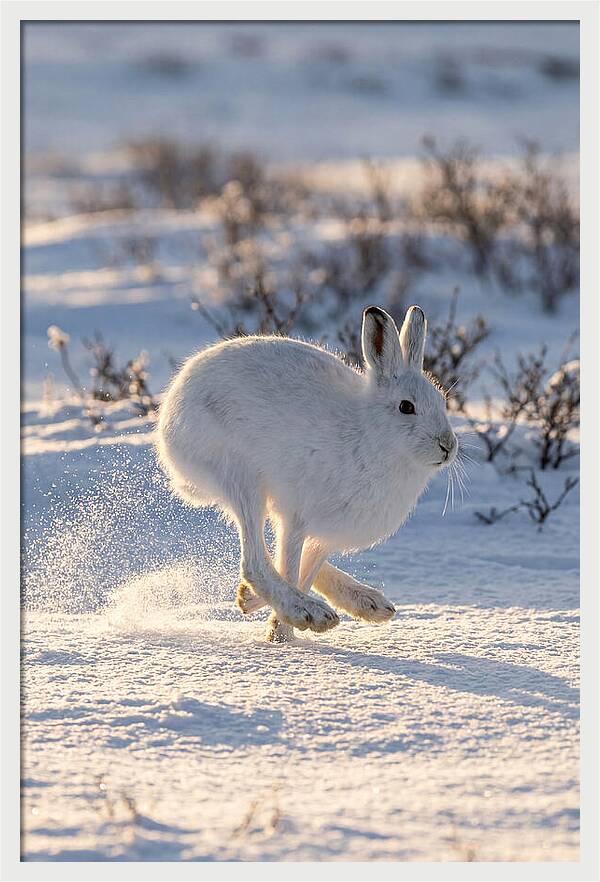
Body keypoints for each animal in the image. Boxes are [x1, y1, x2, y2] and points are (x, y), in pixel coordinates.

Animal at [156, 304, 457, 642]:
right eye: (406, 407)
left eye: (442, 401)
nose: (448, 446)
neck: (371, 435)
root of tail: (169, 415)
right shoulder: (298, 517)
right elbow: (290, 566)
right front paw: (283, 634)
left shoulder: (326, 533)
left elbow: (306, 569)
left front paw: (272, 622)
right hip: (241, 477)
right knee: (255, 561)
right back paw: (307, 611)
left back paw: (366, 603)